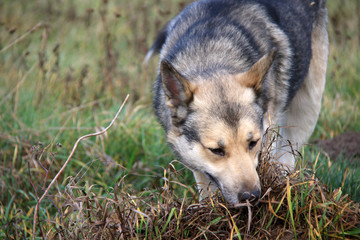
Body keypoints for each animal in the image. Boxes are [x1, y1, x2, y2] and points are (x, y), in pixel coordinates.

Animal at [145, 0, 328, 204]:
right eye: (216, 150)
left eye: (253, 142)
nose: (251, 196)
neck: (210, 57)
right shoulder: (196, 164)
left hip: (307, 109)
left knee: (287, 156)